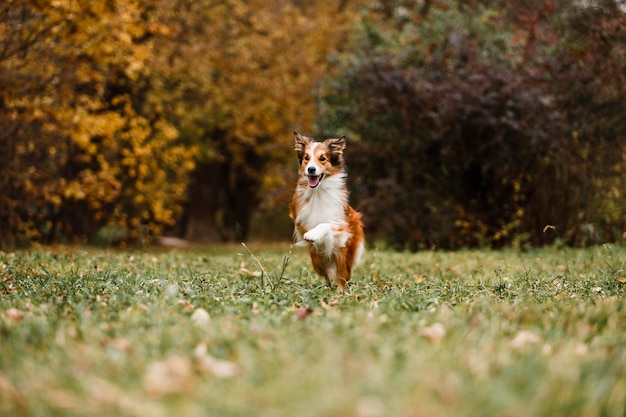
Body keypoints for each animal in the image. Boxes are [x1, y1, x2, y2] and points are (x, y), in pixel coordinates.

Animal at [288, 131, 366, 290]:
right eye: (306, 158)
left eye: (322, 158)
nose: (311, 169)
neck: (318, 190)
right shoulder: (299, 218)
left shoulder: (342, 224)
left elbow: (326, 224)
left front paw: (313, 234)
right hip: (317, 261)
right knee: (328, 272)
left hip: (344, 252)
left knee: (342, 275)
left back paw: (341, 290)